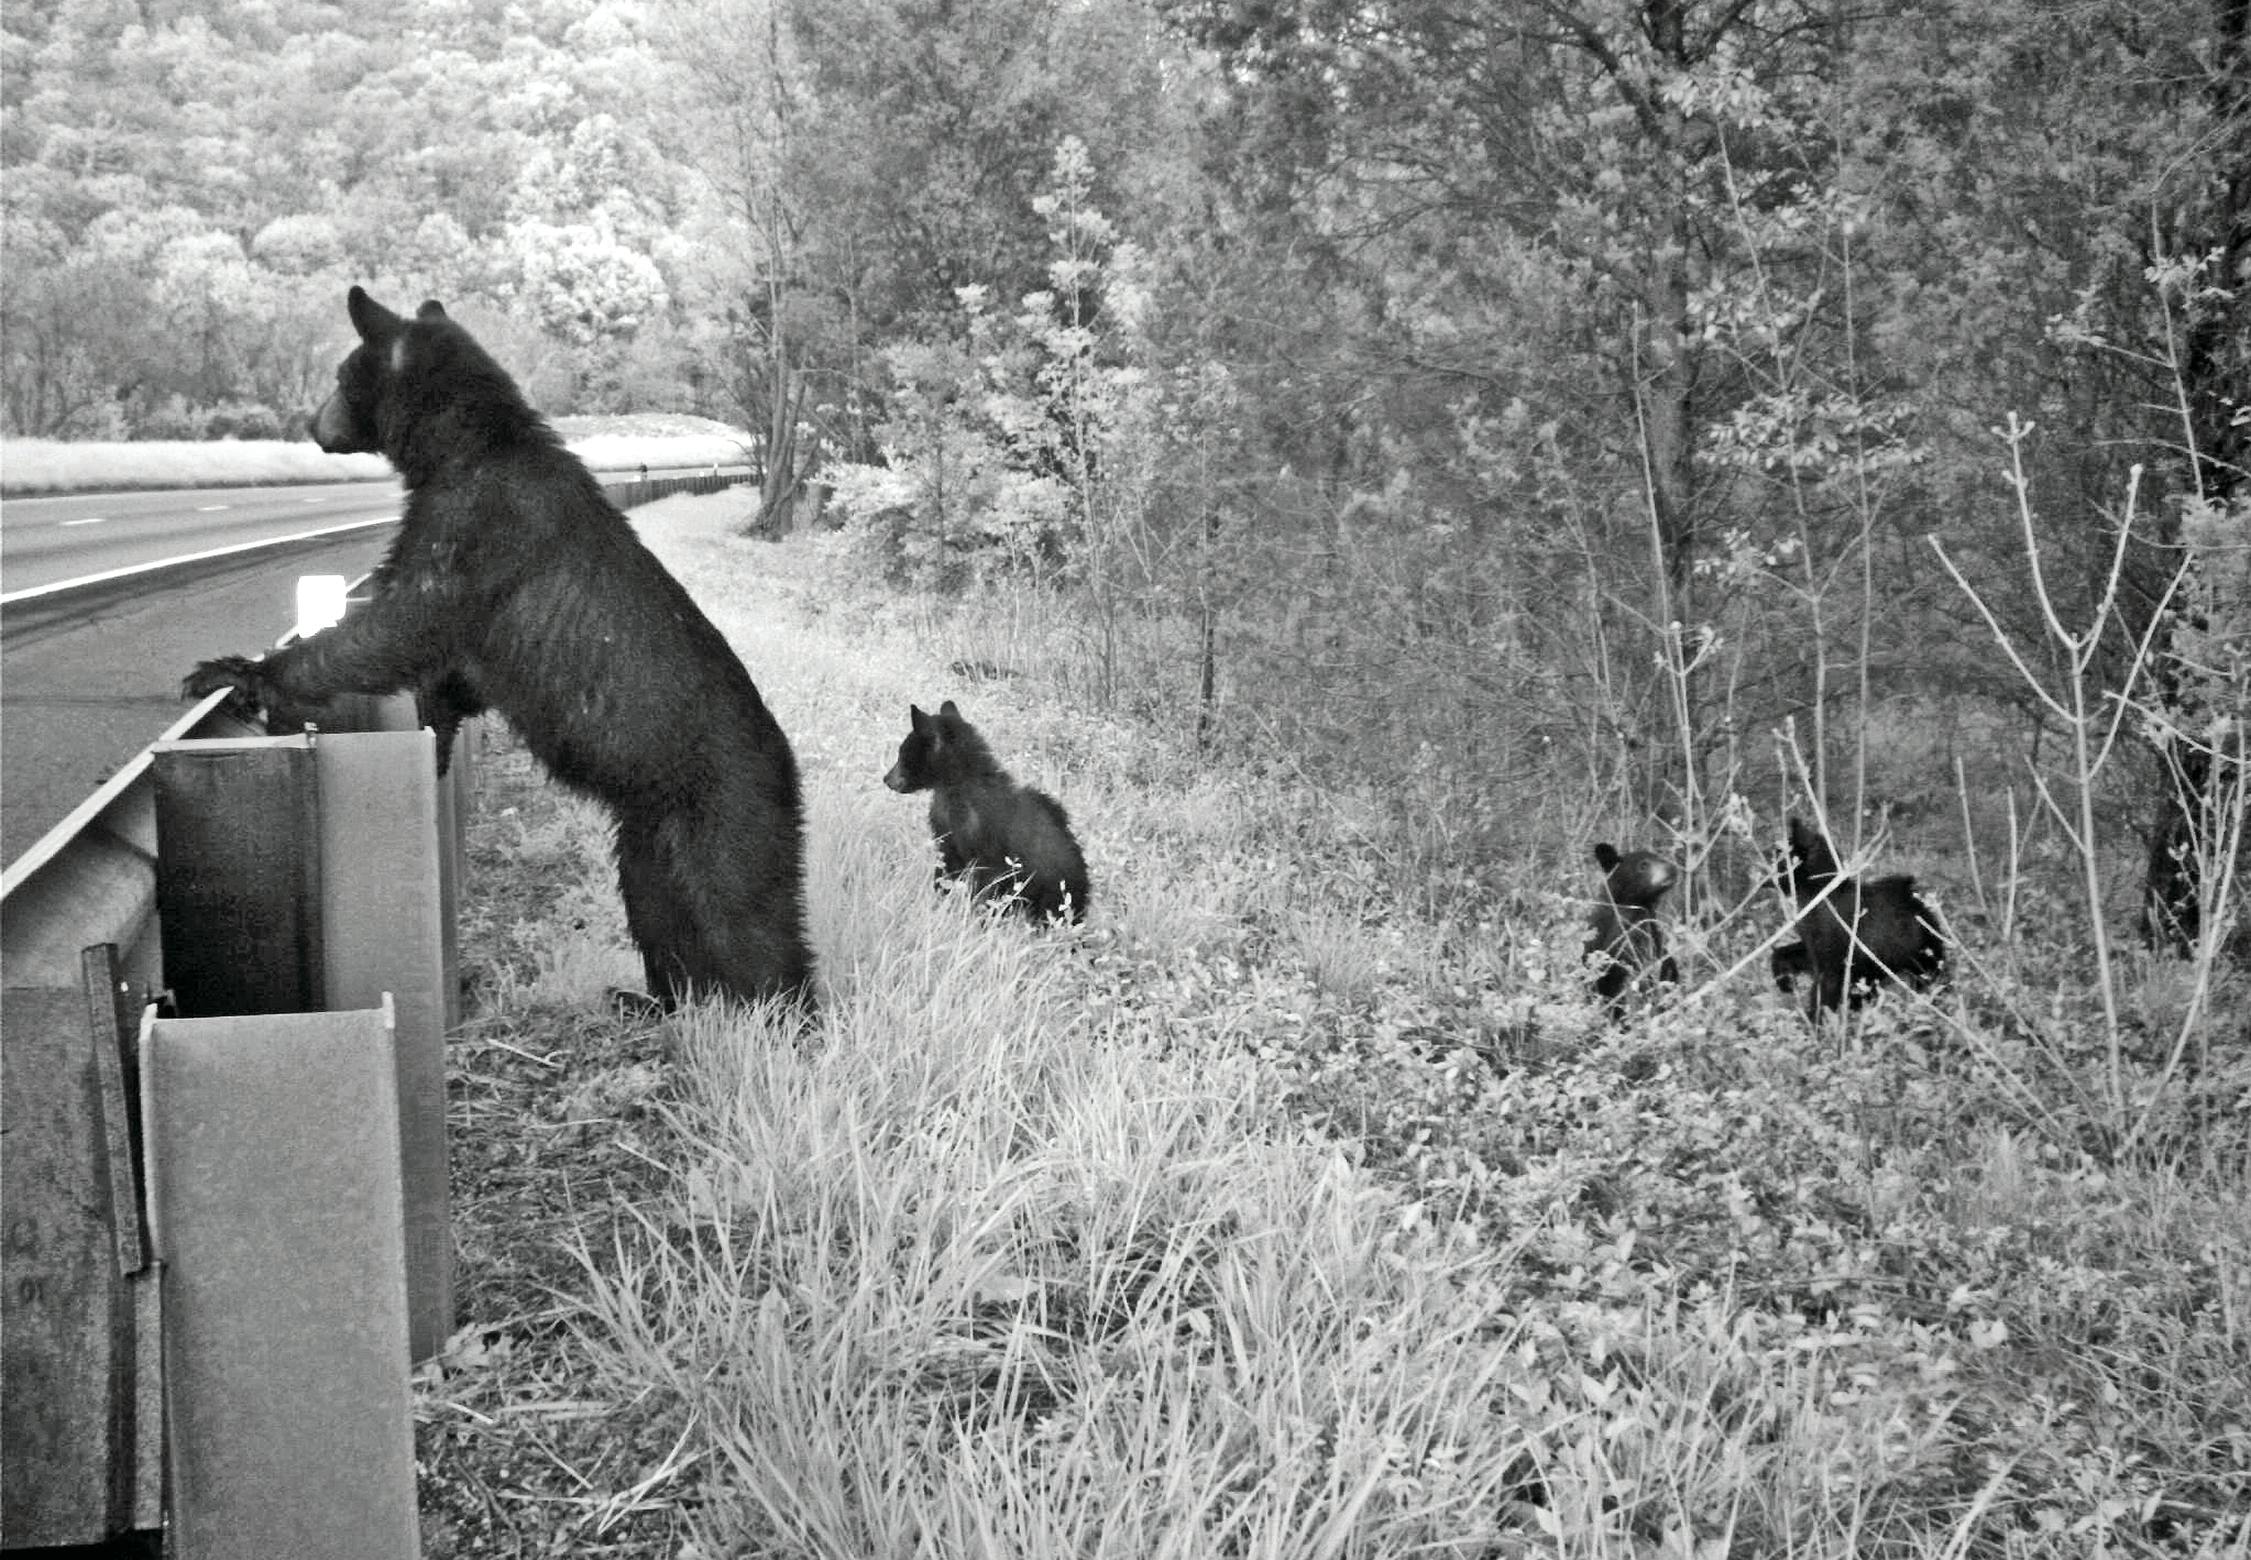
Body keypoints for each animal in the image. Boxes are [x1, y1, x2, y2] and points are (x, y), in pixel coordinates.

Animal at [184, 286, 813, 1011]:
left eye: (341, 377)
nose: (313, 424)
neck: (465, 447)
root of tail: (789, 766)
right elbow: (451, 676)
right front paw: (433, 737)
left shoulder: (473, 527)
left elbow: (398, 625)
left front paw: (238, 672)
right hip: (648, 829)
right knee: (656, 905)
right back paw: (655, 1000)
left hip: (726, 812)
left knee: (743, 917)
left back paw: (786, 1014)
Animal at [882, 700, 1089, 923]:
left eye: (902, 753)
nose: (886, 779)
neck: (954, 790)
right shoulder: (947, 835)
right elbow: (944, 870)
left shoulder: (989, 847)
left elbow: (986, 887)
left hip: (1054, 891)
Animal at [1777, 816, 1946, 1015]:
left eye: (1777, 856)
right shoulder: (1814, 949)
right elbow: (1782, 953)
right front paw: (1784, 981)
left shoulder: (1834, 958)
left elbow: (1824, 993)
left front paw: (1815, 1018)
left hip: (1916, 961)